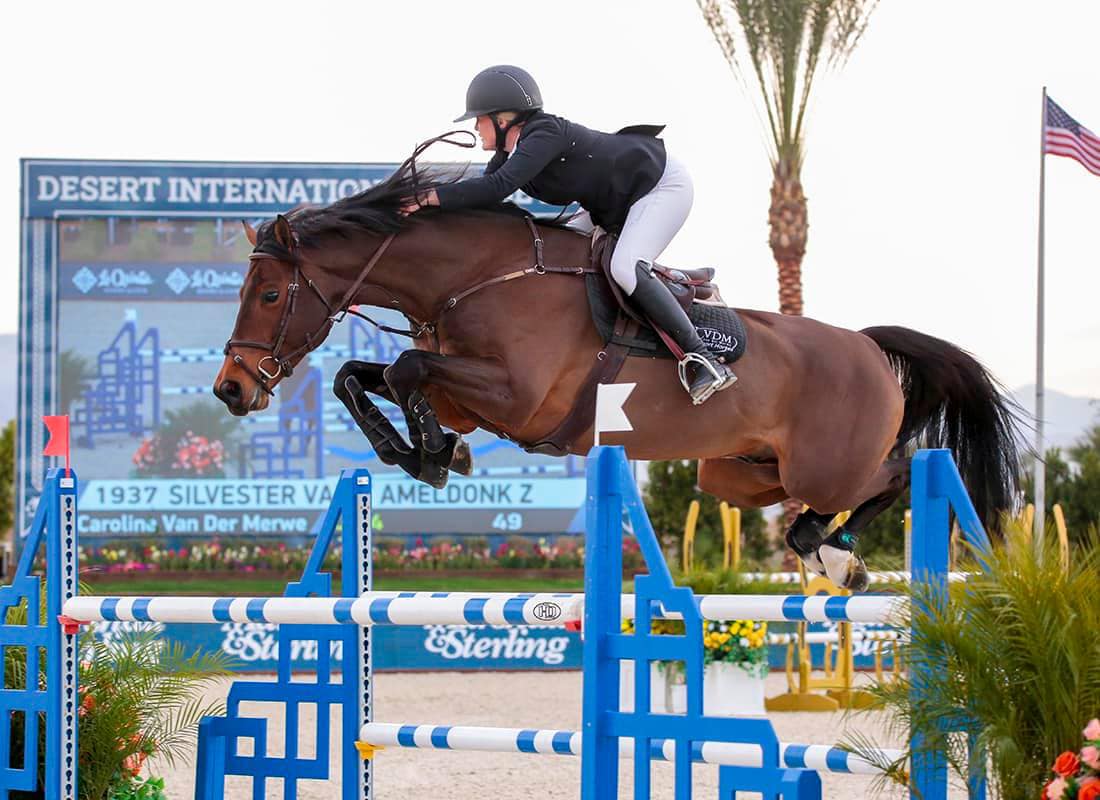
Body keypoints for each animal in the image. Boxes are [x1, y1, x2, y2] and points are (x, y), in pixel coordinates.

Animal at [213, 160, 1024, 590]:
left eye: (271, 294)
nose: (232, 388)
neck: (474, 277)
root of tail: (864, 344)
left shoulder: (518, 399)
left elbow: (407, 366)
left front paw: (436, 455)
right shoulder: (467, 393)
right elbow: (360, 375)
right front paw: (427, 452)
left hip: (828, 465)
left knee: (897, 473)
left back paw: (833, 553)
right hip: (740, 472)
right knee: (805, 495)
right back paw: (820, 546)